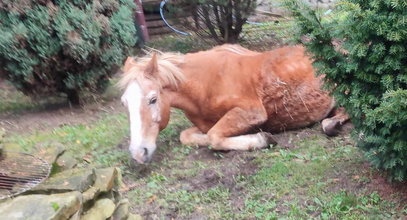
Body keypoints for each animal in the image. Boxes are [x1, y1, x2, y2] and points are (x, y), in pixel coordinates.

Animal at [119, 44, 350, 164]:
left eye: (153, 99)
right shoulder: (205, 123)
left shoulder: (252, 111)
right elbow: (189, 136)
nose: (139, 153)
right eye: (124, 103)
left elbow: (214, 137)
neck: (206, 84)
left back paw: (332, 124)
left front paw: (262, 139)